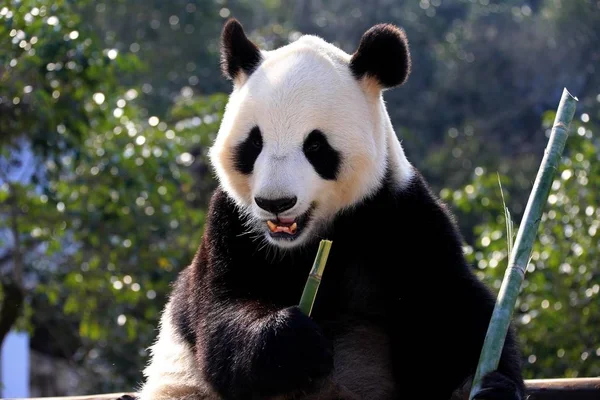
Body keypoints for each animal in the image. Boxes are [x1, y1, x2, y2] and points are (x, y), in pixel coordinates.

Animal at [132, 18, 524, 400]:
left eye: (315, 145)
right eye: (254, 143)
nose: (275, 203)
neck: (310, 240)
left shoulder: (402, 214)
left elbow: (452, 308)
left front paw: (492, 387)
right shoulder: (229, 224)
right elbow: (222, 314)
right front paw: (293, 342)